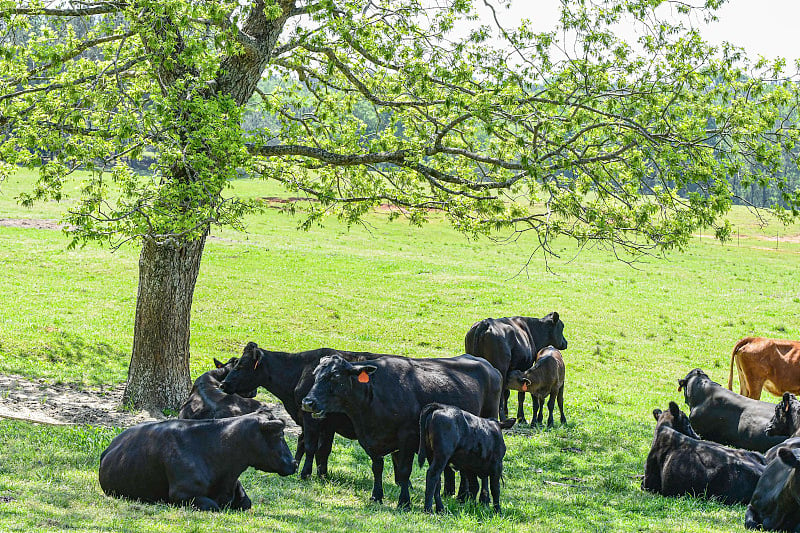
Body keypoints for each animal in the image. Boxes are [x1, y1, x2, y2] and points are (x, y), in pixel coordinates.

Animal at [220, 342, 386, 480]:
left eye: (241, 365)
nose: (223, 384)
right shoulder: (323, 422)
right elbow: (316, 447)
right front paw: (319, 474)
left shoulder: (311, 417)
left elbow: (311, 446)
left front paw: (305, 473)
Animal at [300, 354, 500, 508]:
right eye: (315, 374)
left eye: (335, 375)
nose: (308, 402)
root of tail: (488, 365)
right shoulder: (368, 439)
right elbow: (377, 467)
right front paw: (376, 496)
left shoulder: (407, 438)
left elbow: (404, 471)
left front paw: (404, 502)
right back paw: (463, 497)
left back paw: (478, 498)